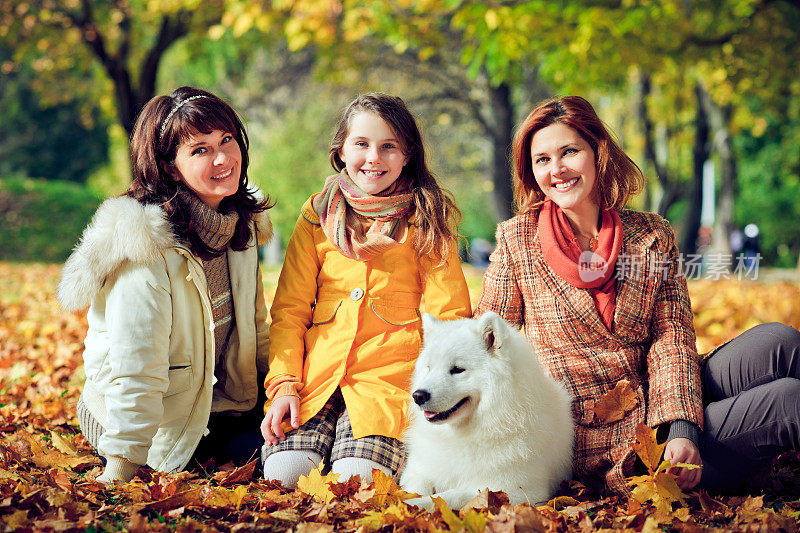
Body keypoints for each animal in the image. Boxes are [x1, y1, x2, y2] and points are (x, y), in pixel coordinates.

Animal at [404, 312, 572, 508]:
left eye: (457, 370)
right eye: (429, 368)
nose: (418, 396)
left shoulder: (519, 491)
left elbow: (451, 496)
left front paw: (415, 504)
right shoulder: (417, 470)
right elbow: (413, 488)